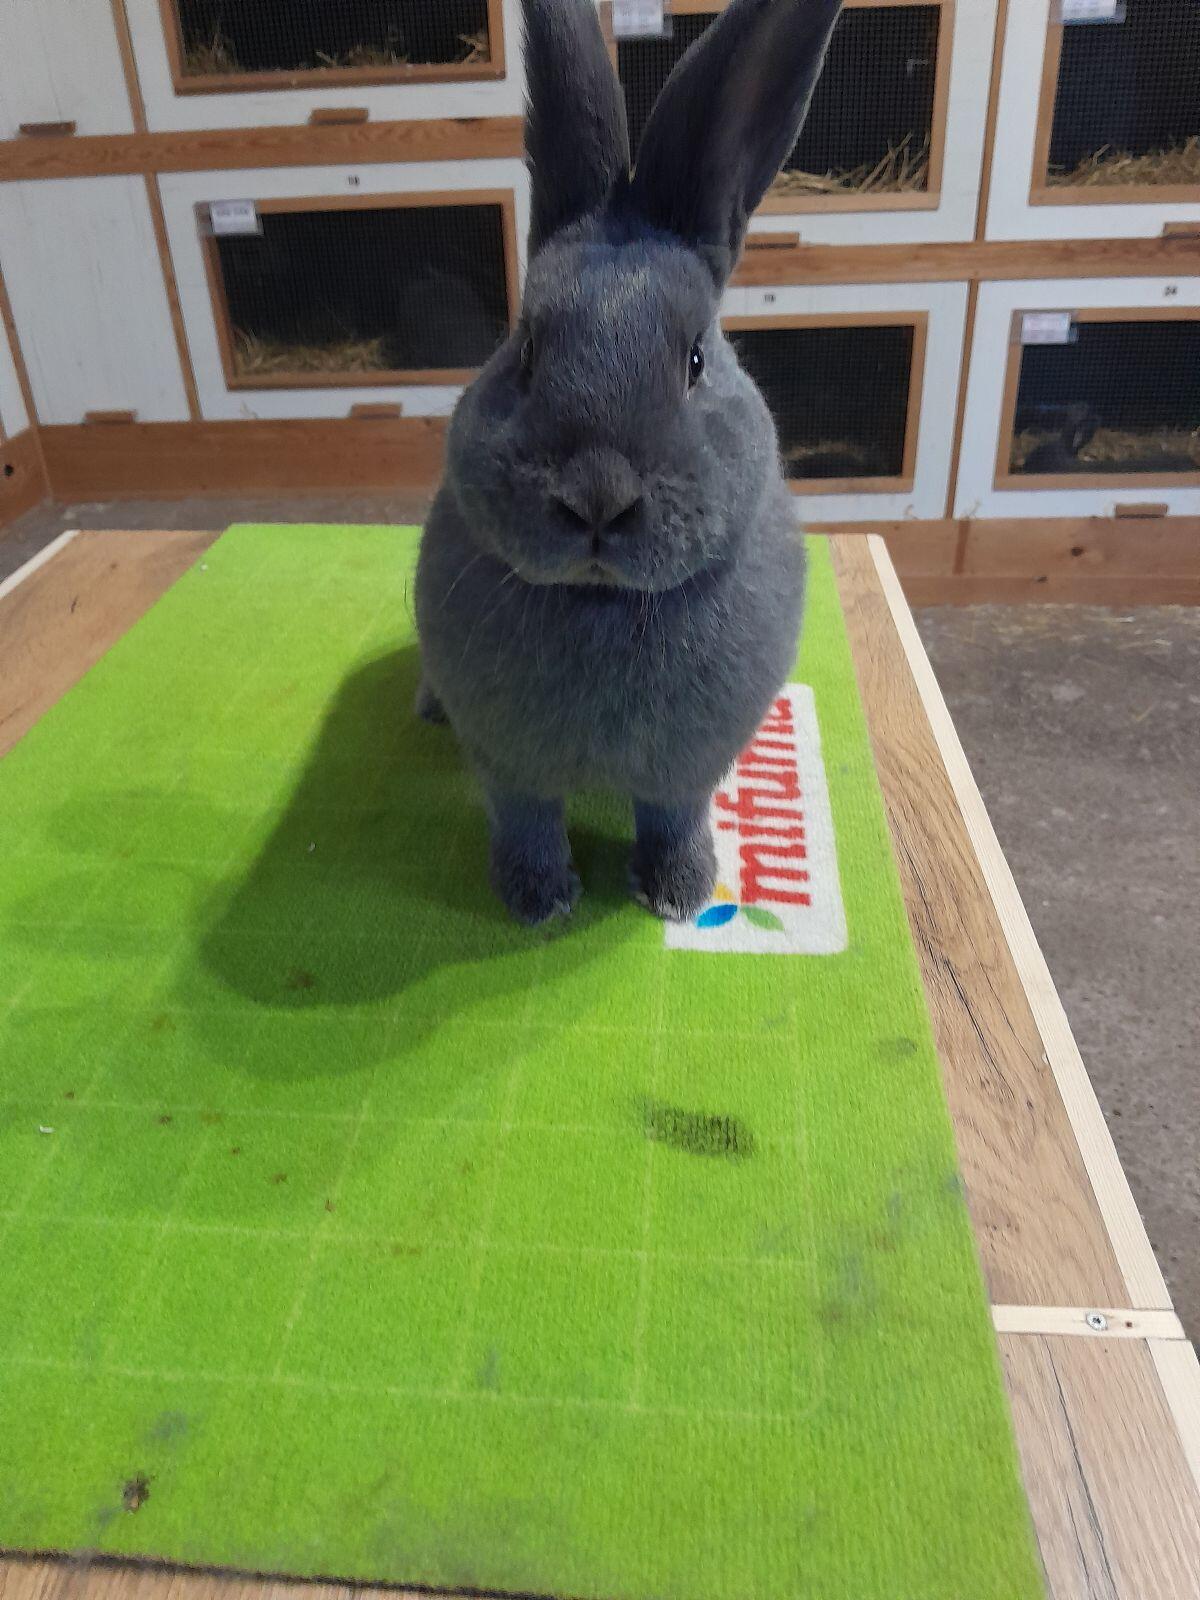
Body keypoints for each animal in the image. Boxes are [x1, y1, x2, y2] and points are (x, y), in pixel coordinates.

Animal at [414, 0, 841, 926]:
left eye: (696, 360)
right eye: (525, 352)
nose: (597, 497)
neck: (605, 604)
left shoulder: (686, 771)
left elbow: (674, 819)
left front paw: (679, 893)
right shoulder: (511, 768)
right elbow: (529, 823)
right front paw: (538, 903)